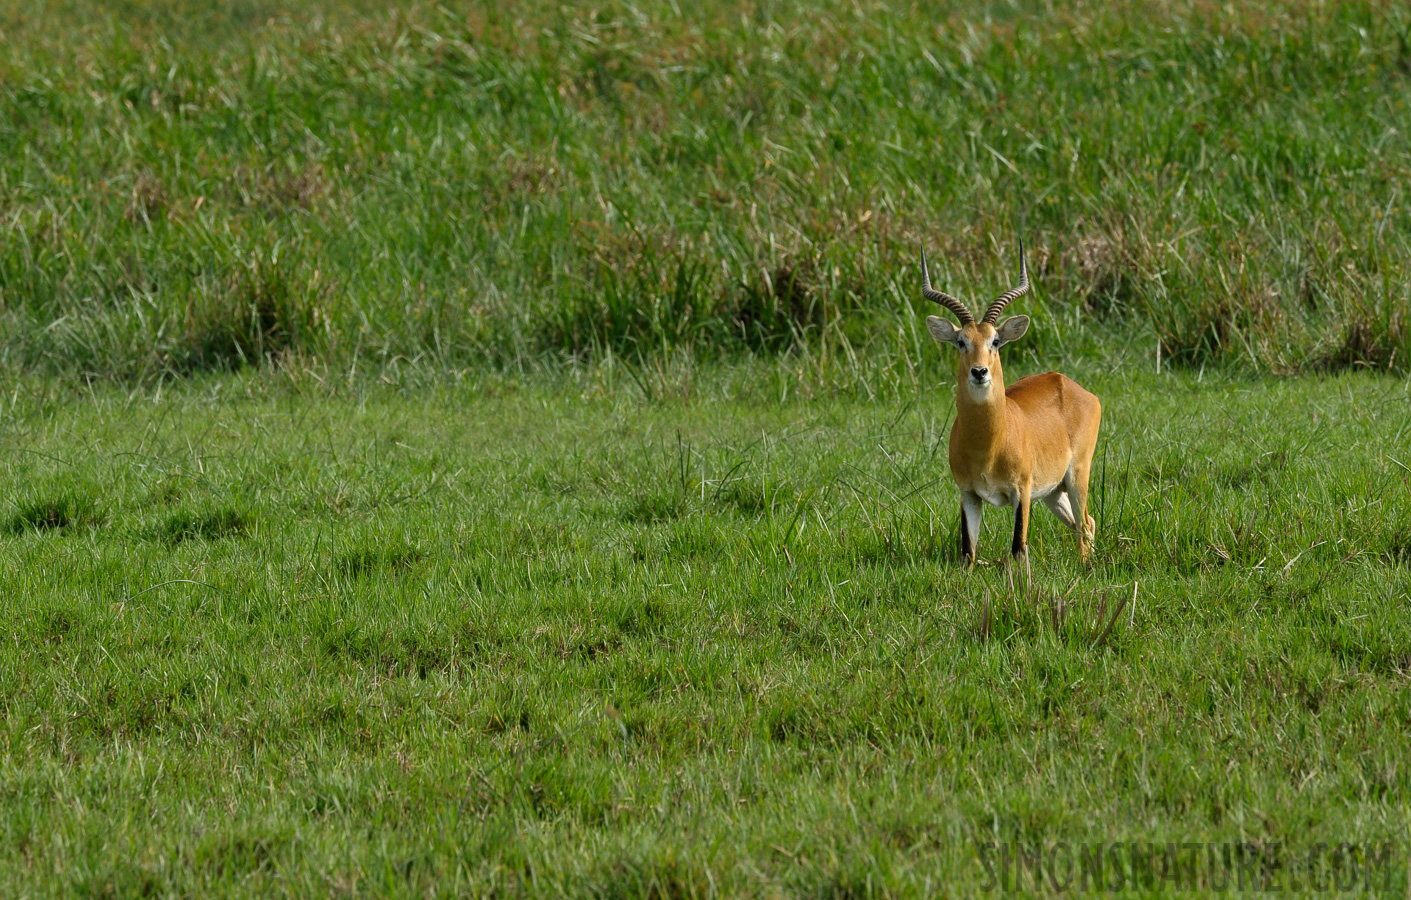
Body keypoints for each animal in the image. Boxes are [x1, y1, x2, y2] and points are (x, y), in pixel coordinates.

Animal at [919, 242, 1106, 589]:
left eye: (995, 340)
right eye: (961, 342)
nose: (980, 372)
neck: (988, 445)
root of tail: (1067, 382)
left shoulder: (1021, 492)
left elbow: (1018, 547)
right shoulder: (968, 493)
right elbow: (968, 551)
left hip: (1077, 476)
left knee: (1085, 523)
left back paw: (1087, 569)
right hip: (1052, 492)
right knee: (1083, 523)